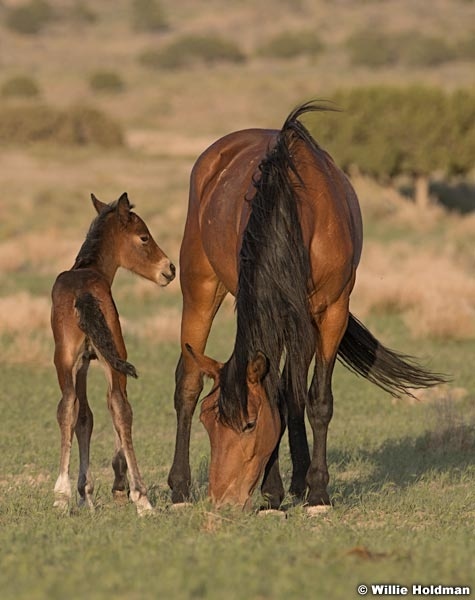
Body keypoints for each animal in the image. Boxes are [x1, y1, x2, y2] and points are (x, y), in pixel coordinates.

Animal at [50, 193, 177, 516]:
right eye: (144, 237)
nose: (170, 269)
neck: (90, 268)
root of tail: (83, 294)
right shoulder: (105, 359)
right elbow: (107, 411)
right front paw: (115, 487)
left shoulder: (81, 363)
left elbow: (83, 417)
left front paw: (83, 493)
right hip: (114, 357)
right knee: (120, 407)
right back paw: (142, 498)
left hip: (63, 359)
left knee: (66, 407)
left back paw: (60, 496)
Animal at [170, 103, 446, 510]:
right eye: (208, 421)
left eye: (250, 424)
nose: (221, 500)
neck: (296, 213)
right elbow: (278, 394)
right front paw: (273, 493)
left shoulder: (329, 313)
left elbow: (313, 399)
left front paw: (316, 492)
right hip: (201, 286)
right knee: (188, 383)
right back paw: (178, 489)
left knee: (292, 389)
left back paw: (299, 481)